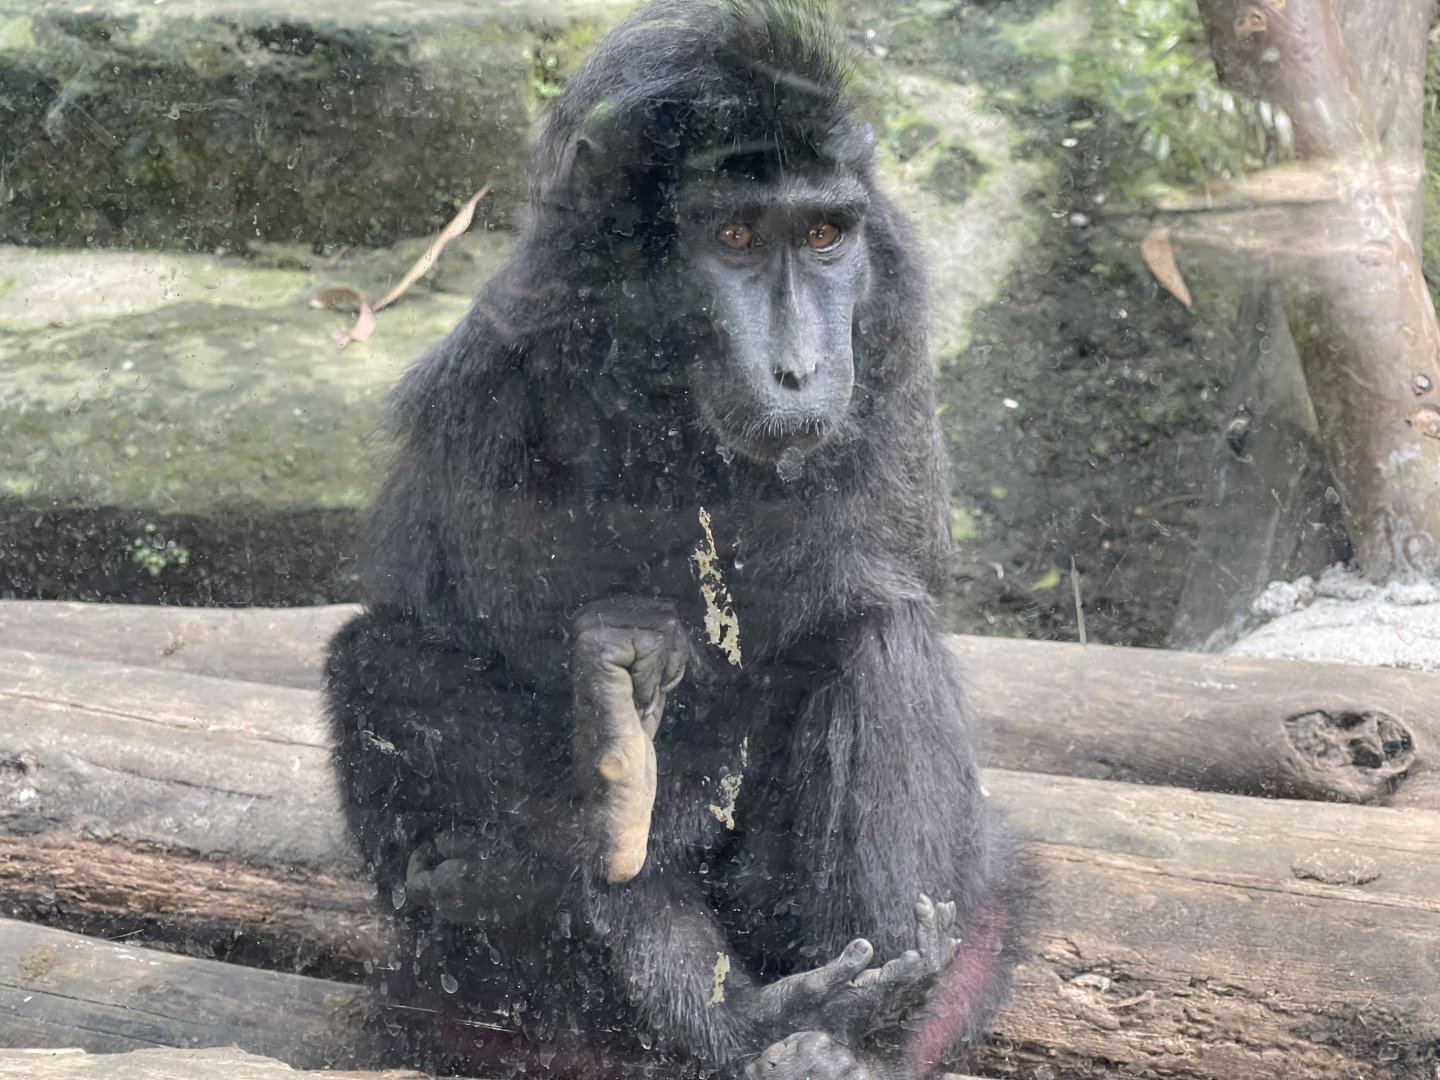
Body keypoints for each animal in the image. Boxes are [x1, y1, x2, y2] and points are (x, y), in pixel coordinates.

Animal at [326, 2, 1027, 1077]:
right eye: (733, 237)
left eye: (824, 235)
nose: (799, 368)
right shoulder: (512, 353)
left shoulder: (893, 346)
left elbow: (866, 584)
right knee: (381, 657)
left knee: (879, 635)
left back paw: (842, 1026)